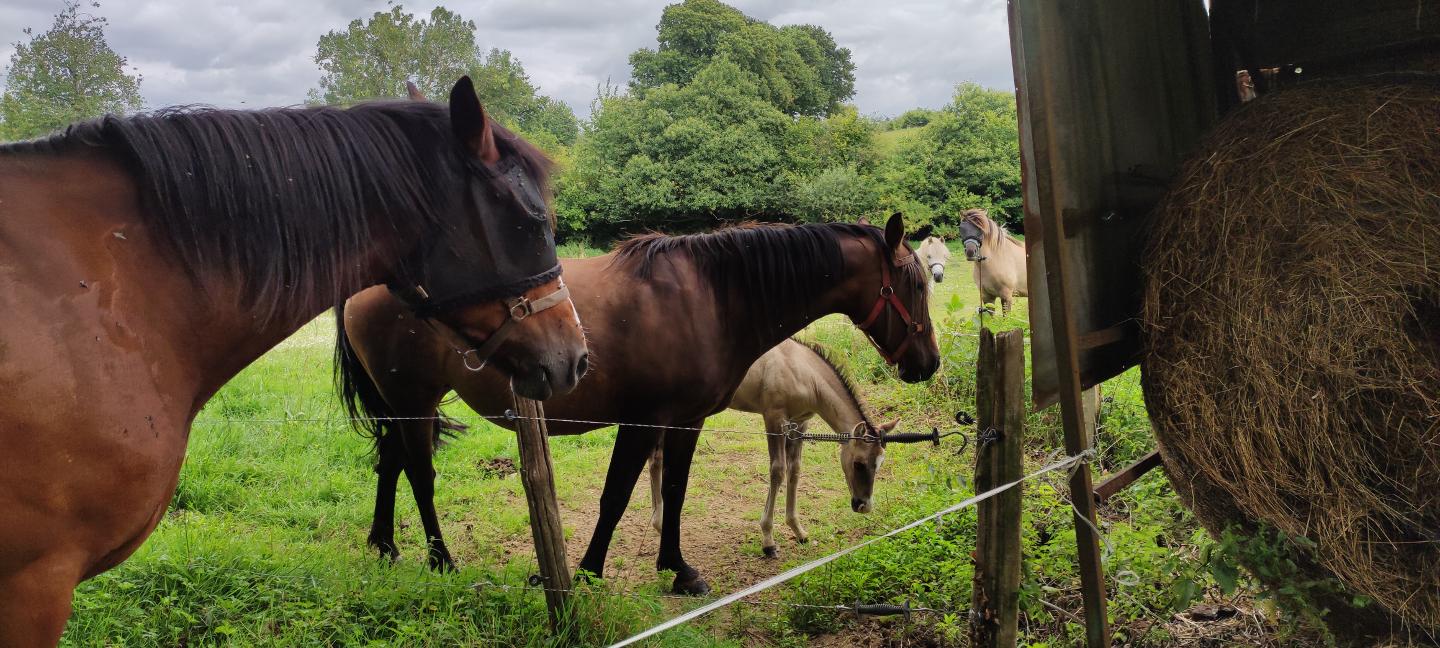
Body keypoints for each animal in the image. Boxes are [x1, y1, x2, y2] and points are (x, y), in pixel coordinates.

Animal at [0, 78, 587, 645]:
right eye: (531, 221)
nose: (577, 358)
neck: (119, 293)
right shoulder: (35, 586)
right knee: (416, 466)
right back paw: (436, 559)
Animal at [648, 339, 892, 555]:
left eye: (880, 464)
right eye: (858, 464)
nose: (864, 505)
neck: (803, 371)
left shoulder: (800, 423)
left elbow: (795, 470)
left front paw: (798, 530)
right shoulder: (774, 418)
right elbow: (778, 470)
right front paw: (768, 540)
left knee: (655, 458)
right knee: (656, 457)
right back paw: (659, 523)